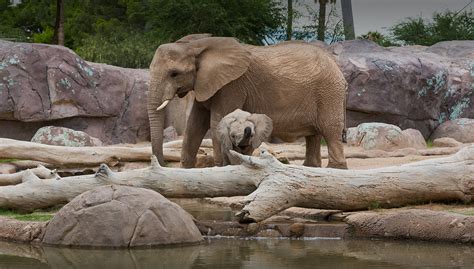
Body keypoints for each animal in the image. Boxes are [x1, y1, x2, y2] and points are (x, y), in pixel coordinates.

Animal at [148, 33, 348, 168]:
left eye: (174, 74)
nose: (162, 164)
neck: (196, 45)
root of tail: (337, 66)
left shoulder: (232, 85)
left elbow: (216, 121)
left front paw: (221, 168)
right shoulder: (206, 84)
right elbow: (195, 125)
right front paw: (186, 170)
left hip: (329, 92)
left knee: (330, 130)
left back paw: (335, 170)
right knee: (313, 135)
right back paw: (311, 168)